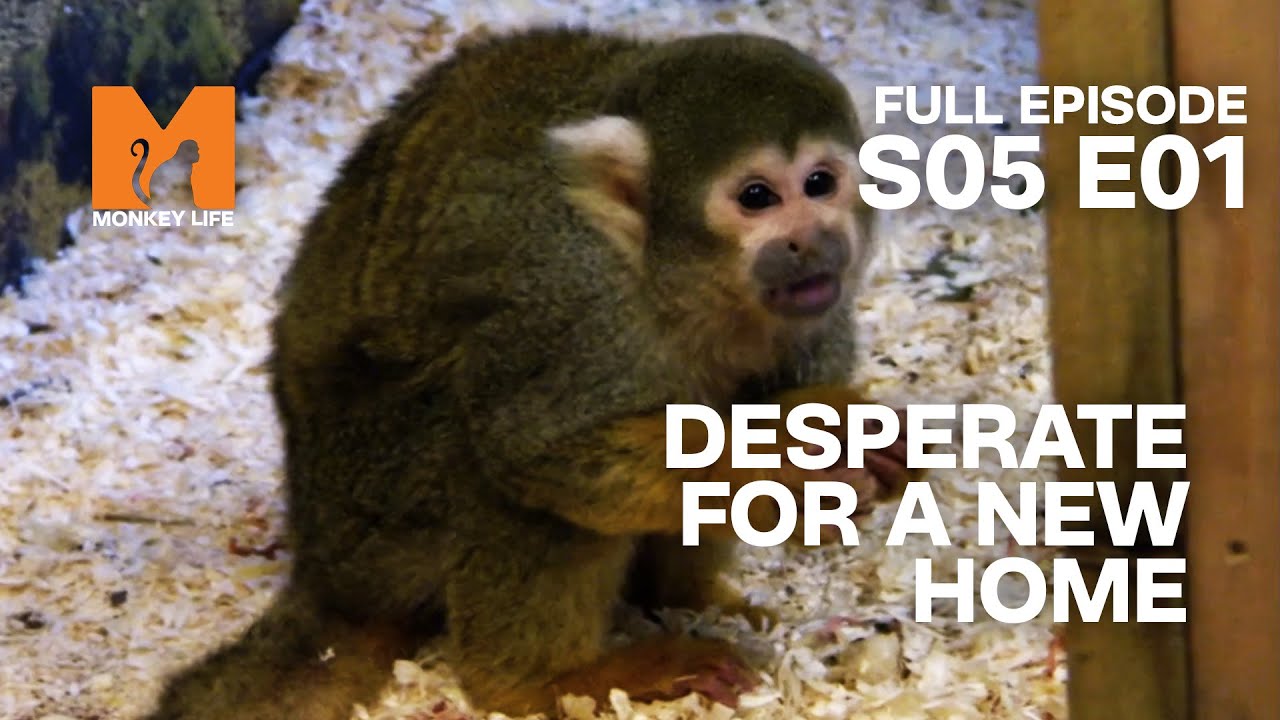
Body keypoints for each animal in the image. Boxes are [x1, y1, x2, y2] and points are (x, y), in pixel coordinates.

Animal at [141, 26, 927, 720]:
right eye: (757, 197)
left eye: (821, 184)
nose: (809, 241)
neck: (671, 277)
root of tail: (320, 563)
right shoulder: (576, 304)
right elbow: (542, 453)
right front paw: (795, 455)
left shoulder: (821, 302)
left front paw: (844, 454)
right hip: (374, 510)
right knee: (489, 456)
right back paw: (543, 682)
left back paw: (678, 599)